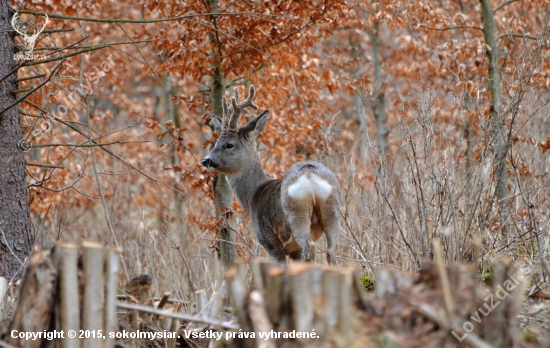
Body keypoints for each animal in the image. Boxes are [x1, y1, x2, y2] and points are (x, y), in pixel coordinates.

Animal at [203, 85, 340, 264]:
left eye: (229, 145)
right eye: (216, 142)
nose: (206, 160)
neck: (253, 196)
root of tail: (309, 173)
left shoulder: (270, 242)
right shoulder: (294, 250)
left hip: (296, 212)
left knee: (310, 246)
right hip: (331, 209)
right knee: (331, 250)